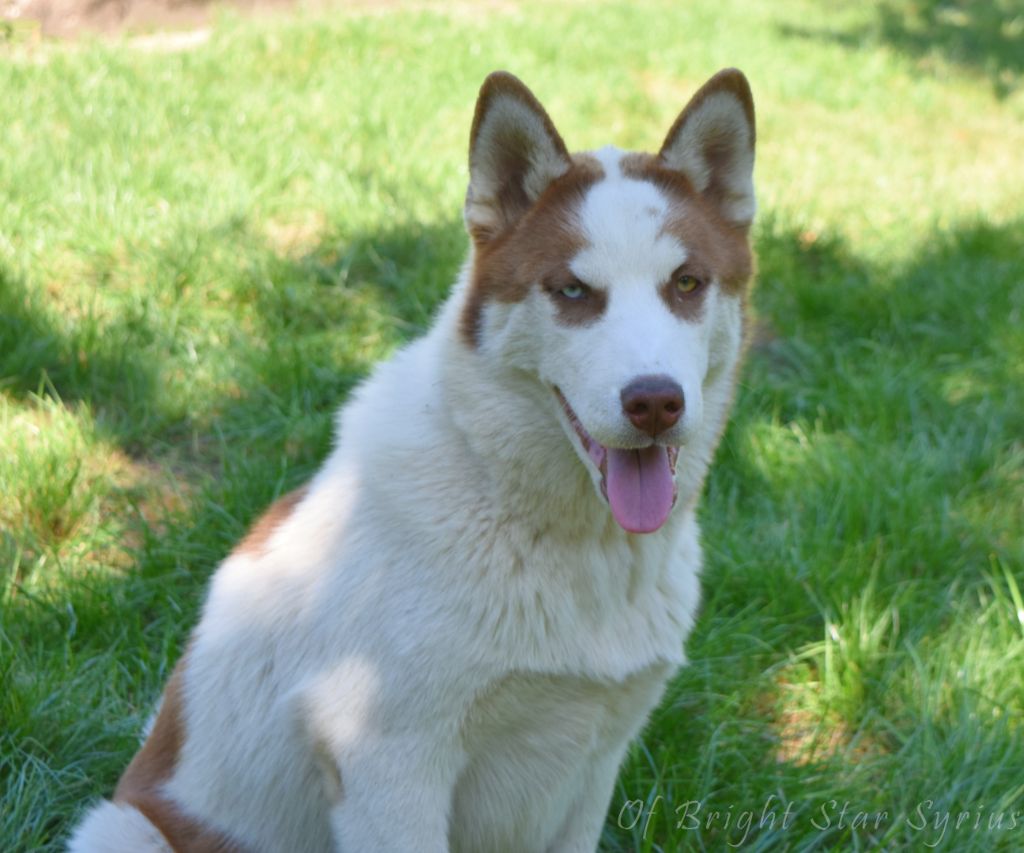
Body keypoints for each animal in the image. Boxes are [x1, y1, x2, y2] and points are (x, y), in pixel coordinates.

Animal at [70, 68, 753, 851]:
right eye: (573, 290)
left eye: (687, 283)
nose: (655, 402)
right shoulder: (388, 761)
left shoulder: (593, 765)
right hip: (122, 827)